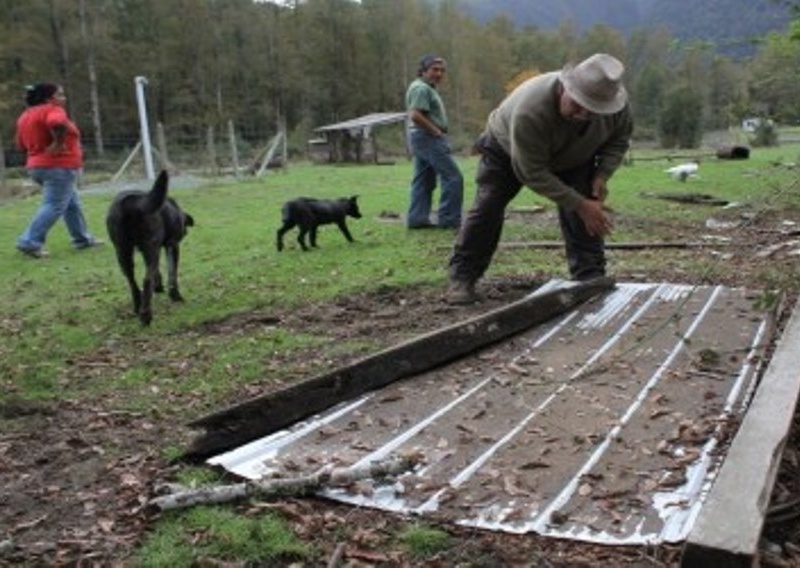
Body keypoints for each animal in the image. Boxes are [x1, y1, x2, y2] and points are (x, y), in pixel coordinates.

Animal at [106, 170, 194, 324]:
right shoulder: (172, 245)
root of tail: (133, 202)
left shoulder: (150, 249)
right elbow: (172, 273)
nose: (186, 232)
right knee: (146, 280)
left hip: (122, 251)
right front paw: (175, 295)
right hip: (149, 247)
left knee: (132, 281)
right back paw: (146, 315)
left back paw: (137, 307)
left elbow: (157, 271)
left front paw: (158, 286)